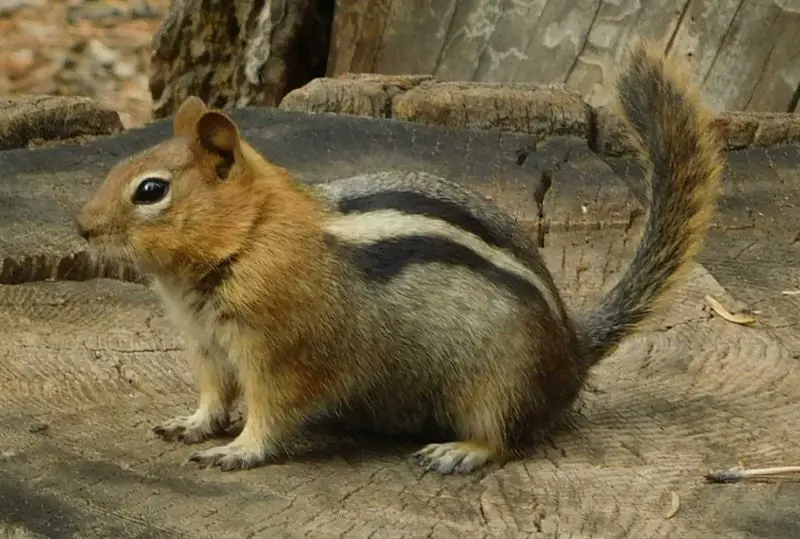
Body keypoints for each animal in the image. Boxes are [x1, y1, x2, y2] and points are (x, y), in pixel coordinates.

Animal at [75, 41, 722, 474]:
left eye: (151, 190)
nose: (82, 228)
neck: (250, 237)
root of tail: (571, 350)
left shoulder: (283, 353)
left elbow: (271, 411)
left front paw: (238, 451)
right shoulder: (206, 346)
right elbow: (212, 396)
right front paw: (191, 426)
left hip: (498, 380)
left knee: (508, 435)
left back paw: (459, 451)